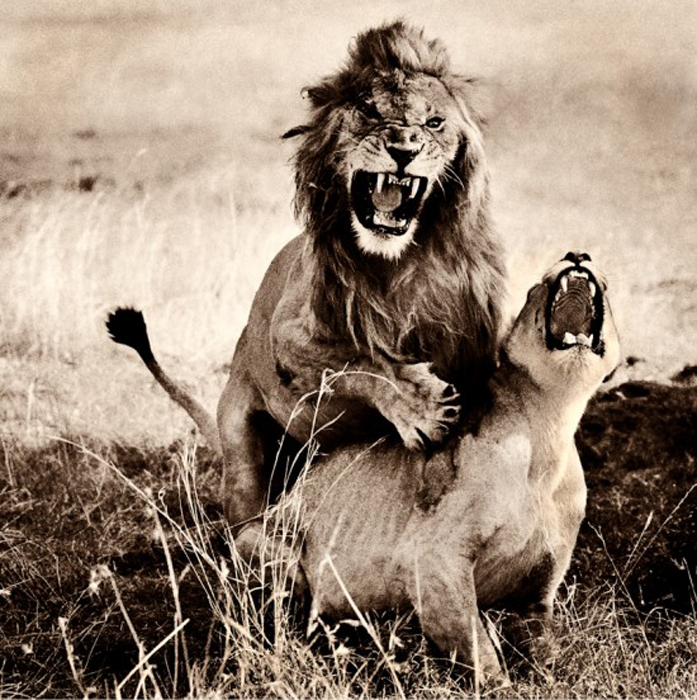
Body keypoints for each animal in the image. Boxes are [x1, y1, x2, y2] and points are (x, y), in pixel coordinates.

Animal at [106, 21, 505, 527]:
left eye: (435, 124)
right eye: (370, 112)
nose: (404, 149)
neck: (400, 262)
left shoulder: (476, 347)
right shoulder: (289, 336)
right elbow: (362, 361)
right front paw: (423, 407)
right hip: (242, 449)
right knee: (244, 522)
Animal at [243, 252, 620, 682]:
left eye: (608, 286)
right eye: (535, 288)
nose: (578, 255)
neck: (550, 423)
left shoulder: (536, 596)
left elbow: (545, 653)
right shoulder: (432, 559)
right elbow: (478, 646)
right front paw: (500, 684)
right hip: (261, 544)